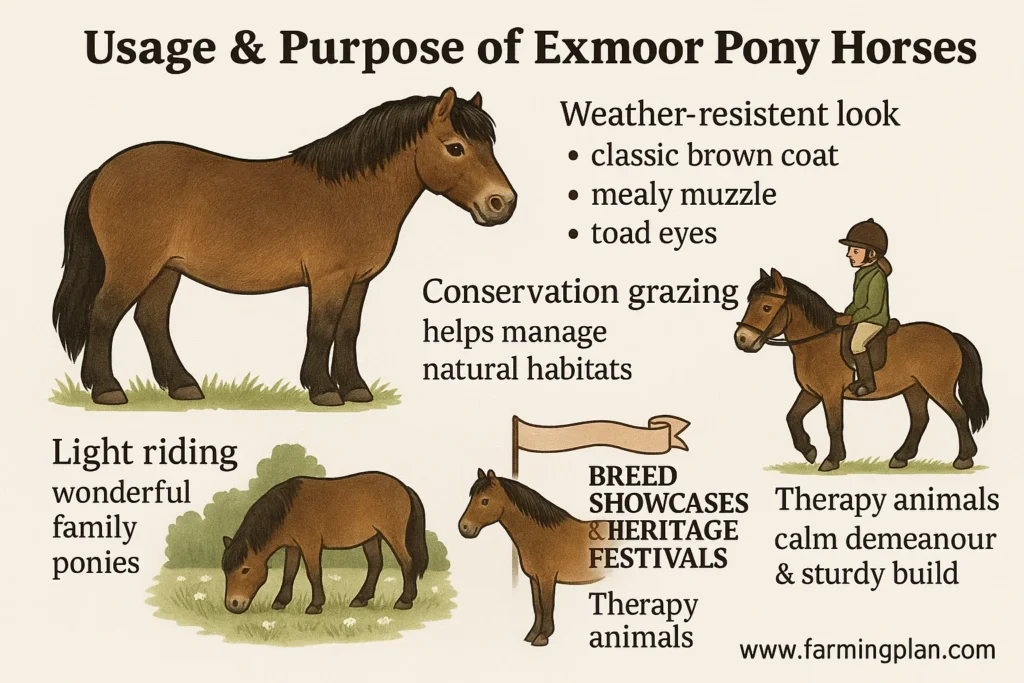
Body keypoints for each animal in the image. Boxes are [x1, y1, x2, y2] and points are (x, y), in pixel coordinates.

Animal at [53, 87, 516, 406]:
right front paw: (324, 390)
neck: (353, 192)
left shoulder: (358, 281)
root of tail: (104, 171)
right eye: (455, 147)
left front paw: (355, 389)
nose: (502, 203)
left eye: (489, 145)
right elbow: (322, 328)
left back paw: (183, 386)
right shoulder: (329, 279)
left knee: (150, 319)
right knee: (103, 315)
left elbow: (348, 331)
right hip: (133, 267)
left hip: (167, 268)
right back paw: (108, 390)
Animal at [221, 472, 428, 615]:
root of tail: (403, 486)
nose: (233, 604)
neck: (288, 509)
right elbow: (289, 574)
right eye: (226, 571)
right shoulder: (293, 546)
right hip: (371, 537)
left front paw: (315, 605)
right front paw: (281, 602)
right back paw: (360, 599)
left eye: (245, 570)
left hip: (393, 535)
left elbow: (313, 573)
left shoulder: (310, 545)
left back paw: (404, 601)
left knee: (407, 562)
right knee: (375, 565)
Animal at [459, 469, 609, 646]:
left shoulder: (547, 579)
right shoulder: (535, 579)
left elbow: (547, 605)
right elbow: (537, 606)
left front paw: (543, 636)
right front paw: (532, 634)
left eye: (484, 501)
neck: (541, 535)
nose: (464, 527)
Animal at [735, 268, 989, 472]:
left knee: (959, 414)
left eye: (766, 307)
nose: (742, 339)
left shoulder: (830, 394)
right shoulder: (811, 392)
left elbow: (834, 424)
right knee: (920, 419)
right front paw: (809, 450)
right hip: (914, 388)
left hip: (938, 388)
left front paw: (832, 459)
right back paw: (900, 458)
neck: (816, 342)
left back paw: (964, 459)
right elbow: (792, 417)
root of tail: (951, 336)